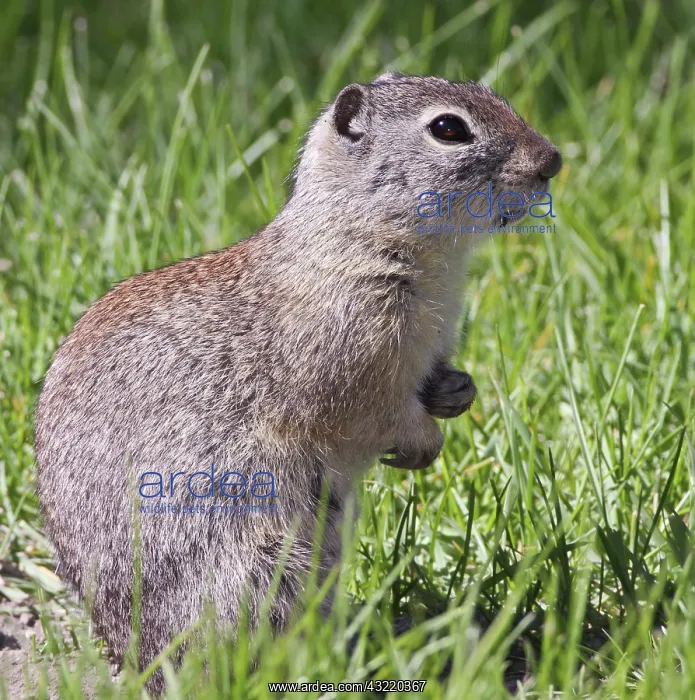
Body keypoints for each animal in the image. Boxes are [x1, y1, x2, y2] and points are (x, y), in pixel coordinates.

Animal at [34, 73, 561, 691]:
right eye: (449, 128)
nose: (551, 161)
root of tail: (140, 661)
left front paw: (458, 393)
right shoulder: (350, 366)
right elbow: (381, 414)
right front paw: (424, 445)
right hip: (260, 564)